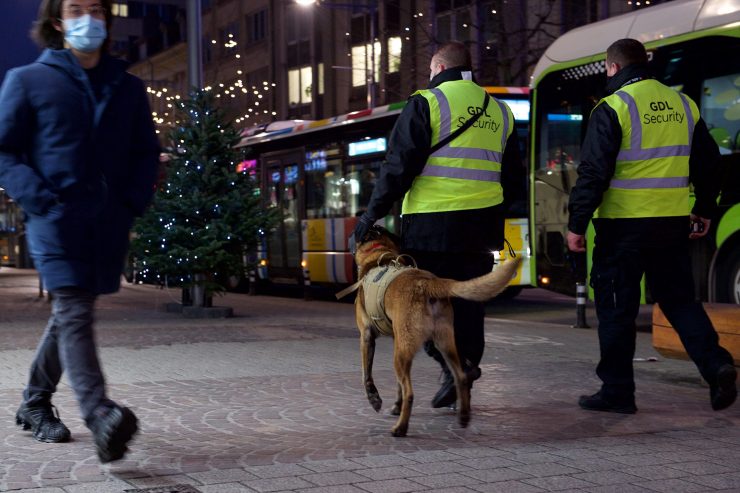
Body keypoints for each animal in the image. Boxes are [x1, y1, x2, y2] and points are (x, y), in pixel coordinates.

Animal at [352, 225, 520, 436]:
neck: (379, 252)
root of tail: (426, 283)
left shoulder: (366, 337)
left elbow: (366, 375)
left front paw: (375, 399)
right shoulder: (395, 339)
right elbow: (397, 386)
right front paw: (396, 405)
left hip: (403, 353)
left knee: (410, 393)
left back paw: (400, 428)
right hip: (443, 344)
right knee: (461, 377)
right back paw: (463, 415)